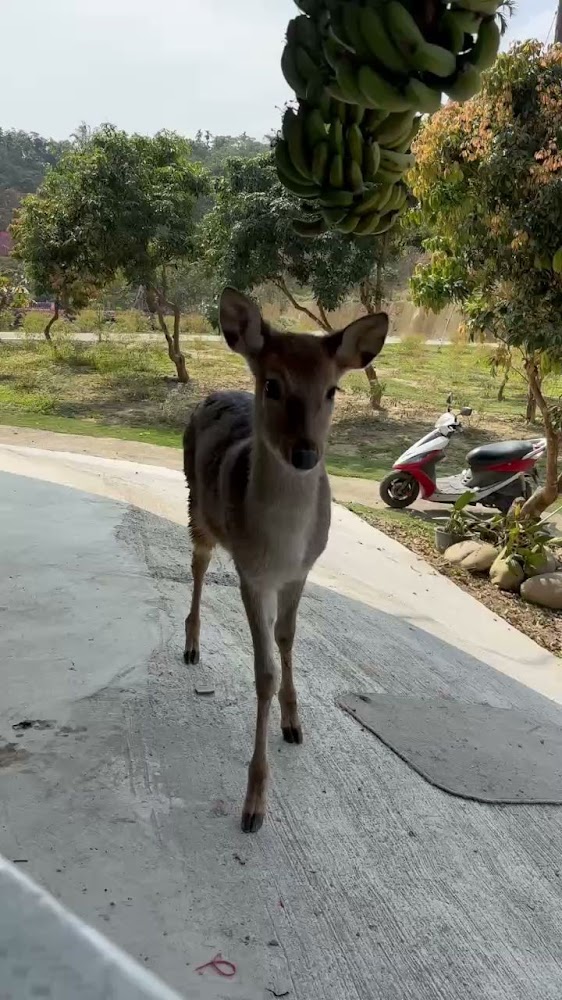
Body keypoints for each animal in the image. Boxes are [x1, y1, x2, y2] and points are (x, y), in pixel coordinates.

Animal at [183, 287, 388, 833]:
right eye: (272, 384)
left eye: (333, 390)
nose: (305, 454)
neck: (282, 544)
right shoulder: (252, 575)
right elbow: (264, 673)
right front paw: (253, 804)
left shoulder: (300, 572)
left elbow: (288, 639)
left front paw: (295, 724)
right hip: (197, 507)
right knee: (197, 564)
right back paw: (190, 646)